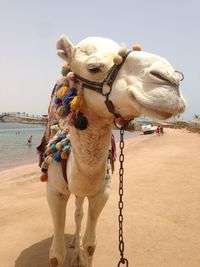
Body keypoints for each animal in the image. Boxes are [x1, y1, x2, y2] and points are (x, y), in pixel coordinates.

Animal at [47, 35, 186, 267]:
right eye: (93, 67)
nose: (171, 79)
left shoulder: (102, 192)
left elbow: (91, 244)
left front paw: (83, 253)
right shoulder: (55, 192)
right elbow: (56, 255)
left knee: (78, 213)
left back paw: (77, 249)